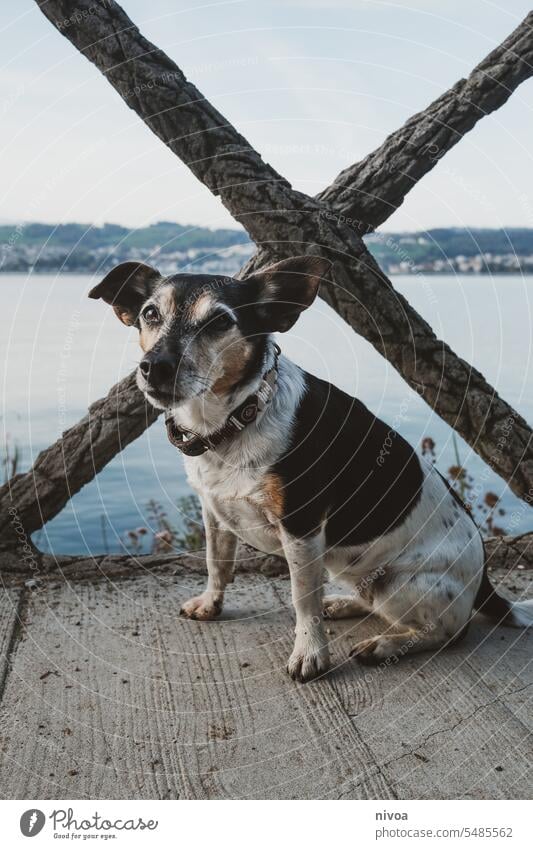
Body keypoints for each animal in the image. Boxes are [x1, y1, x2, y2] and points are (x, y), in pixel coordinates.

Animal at [89, 253, 528, 684]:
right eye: (149, 313)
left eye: (219, 322)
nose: (155, 366)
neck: (236, 420)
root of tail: (485, 582)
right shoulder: (213, 510)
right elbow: (218, 563)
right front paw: (211, 604)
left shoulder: (300, 527)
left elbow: (303, 600)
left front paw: (310, 655)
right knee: (372, 603)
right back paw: (345, 605)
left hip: (402, 583)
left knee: (447, 631)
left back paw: (384, 645)